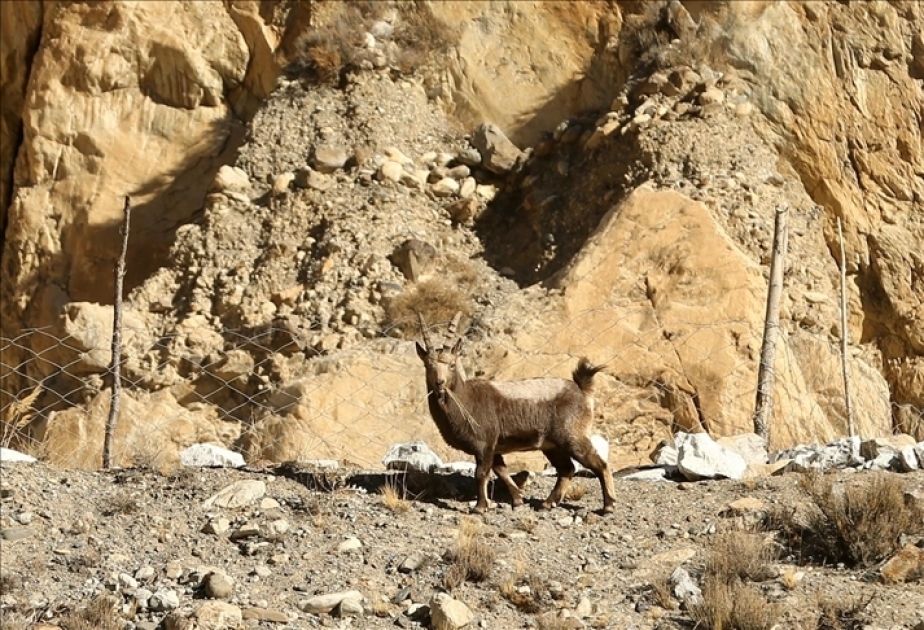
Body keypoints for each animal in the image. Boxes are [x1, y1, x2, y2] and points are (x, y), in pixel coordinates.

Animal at [415, 312, 617, 514]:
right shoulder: (495, 447)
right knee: (567, 469)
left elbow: (481, 474)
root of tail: (582, 389)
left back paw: (608, 505)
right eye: (427, 366)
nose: (439, 383)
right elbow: (502, 471)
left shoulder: (484, 444)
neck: (466, 400)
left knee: (599, 464)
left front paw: (480, 507)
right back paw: (548, 503)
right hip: (552, 445)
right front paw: (518, 500)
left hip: (573, 436)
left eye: (451, 364)